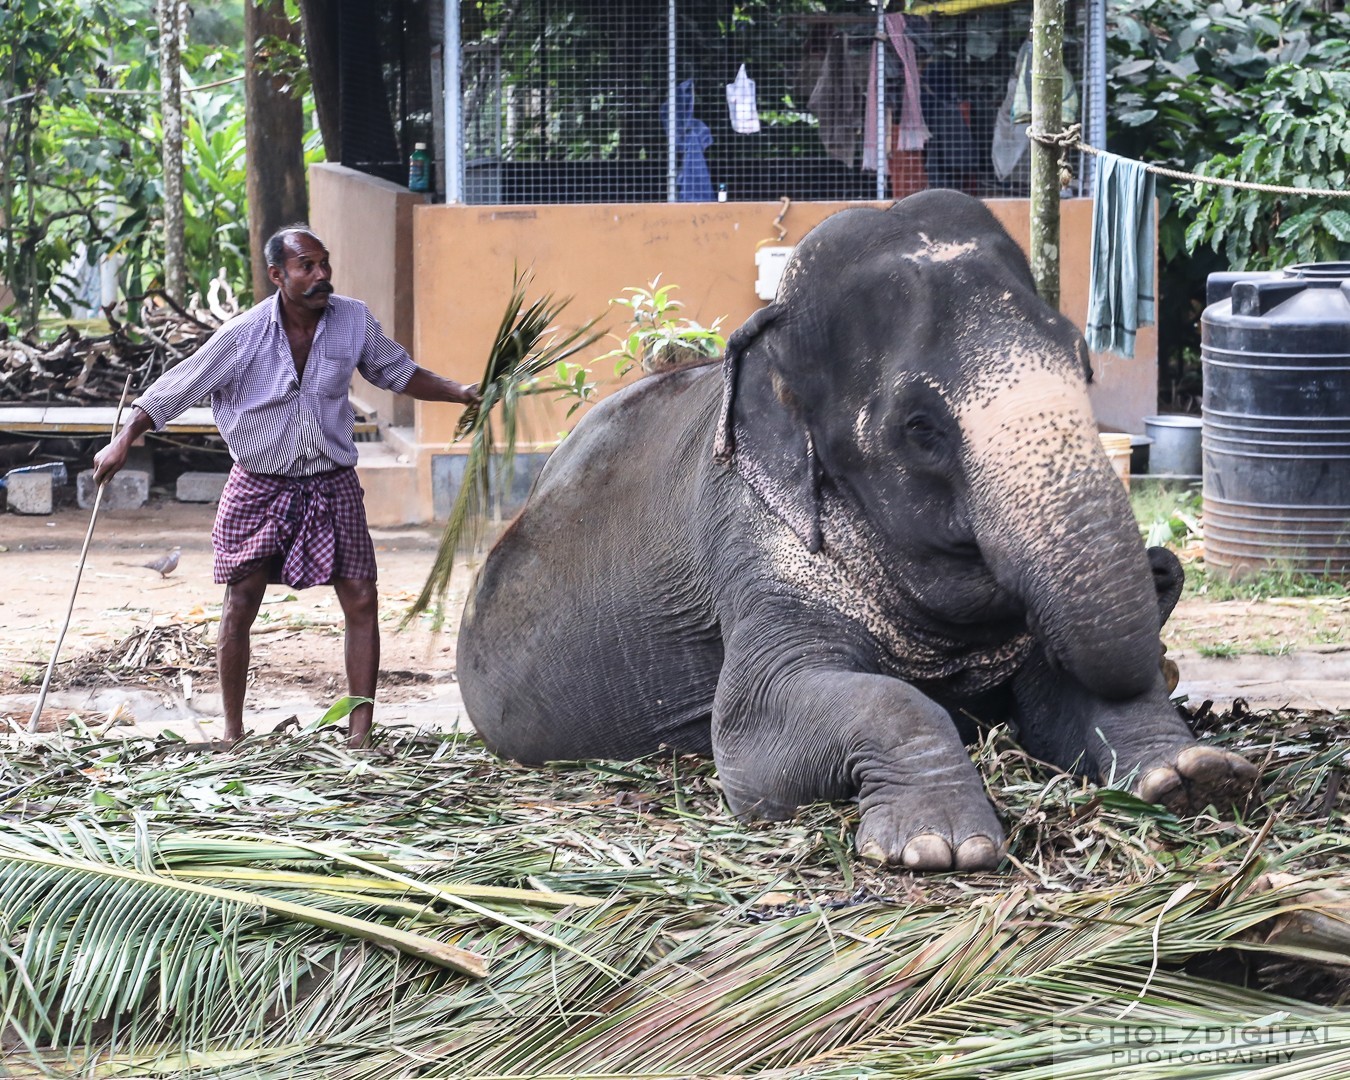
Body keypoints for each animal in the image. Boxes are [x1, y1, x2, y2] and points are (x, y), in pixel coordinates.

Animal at [456, 190, 1252, 874]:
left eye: (1083, 365)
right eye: (921, 428)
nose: (1163, 565)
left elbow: (1061, 693)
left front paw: (1196, 776)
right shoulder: (748, 545)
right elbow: (757, 735)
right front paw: (938, 846)